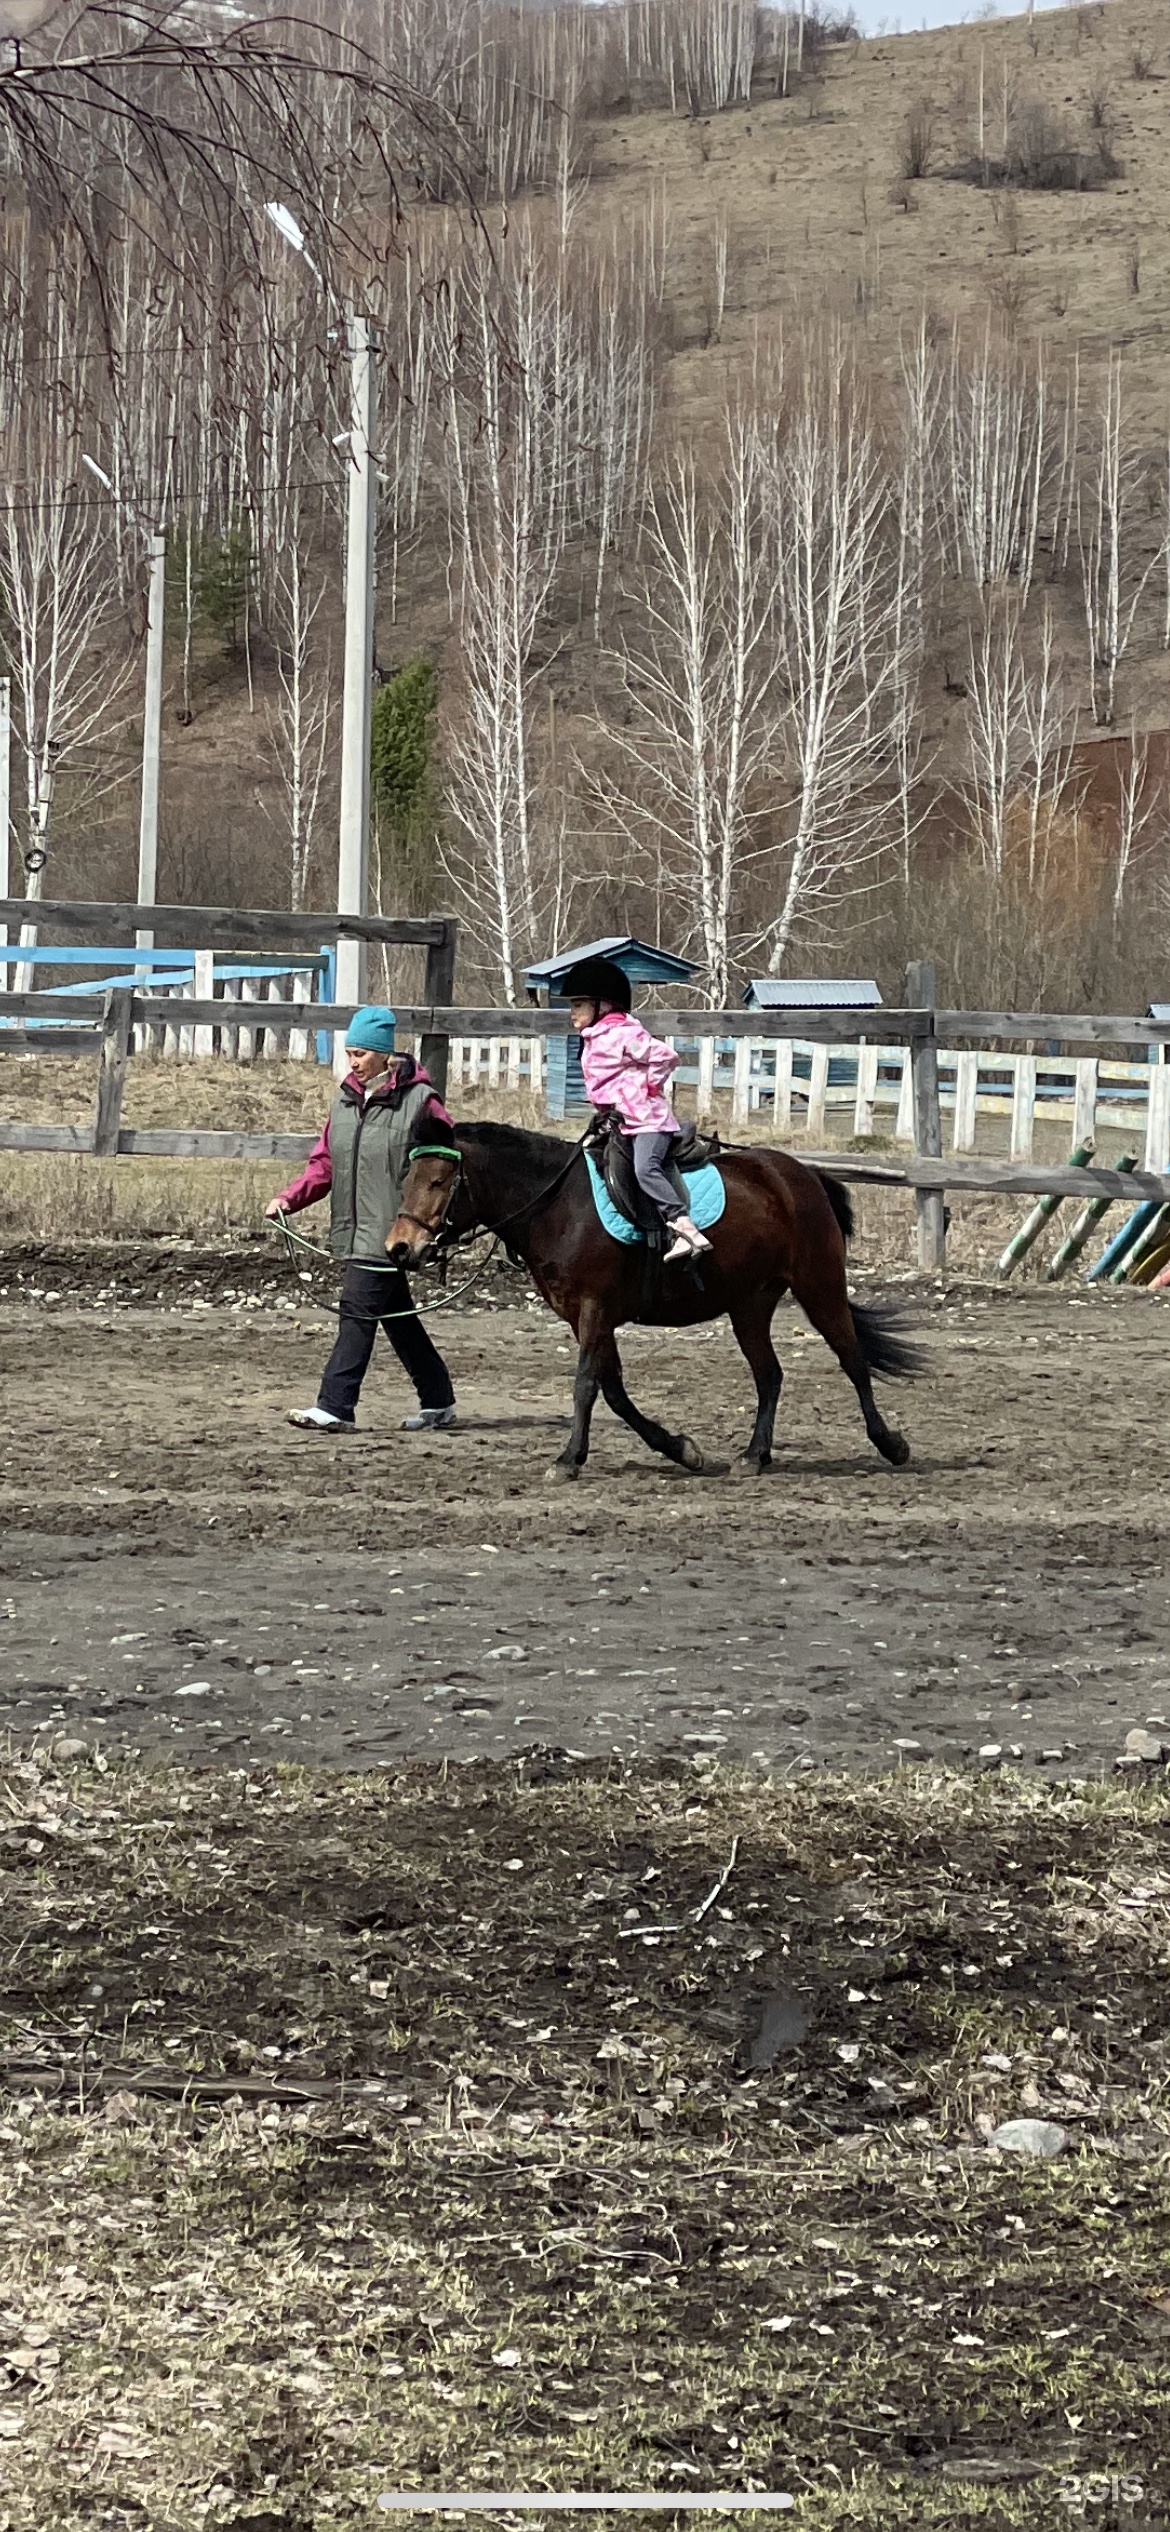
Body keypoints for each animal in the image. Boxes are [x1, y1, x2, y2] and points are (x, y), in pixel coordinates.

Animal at [392, 1129, 921, 1478]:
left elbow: (586, 1386)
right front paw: (681, 1449)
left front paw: (567, 1460)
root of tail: (801, 1173)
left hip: (819, 1287)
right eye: (407, 1177)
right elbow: (613, 1390)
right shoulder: (584, 1318)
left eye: (438, 1182)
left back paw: (891, 1444)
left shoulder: (595, 1310)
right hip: (749, 1306)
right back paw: (754, 1455)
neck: (559, 1206)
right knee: (770, 1375)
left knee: (852, 1360)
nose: (400, 1248)